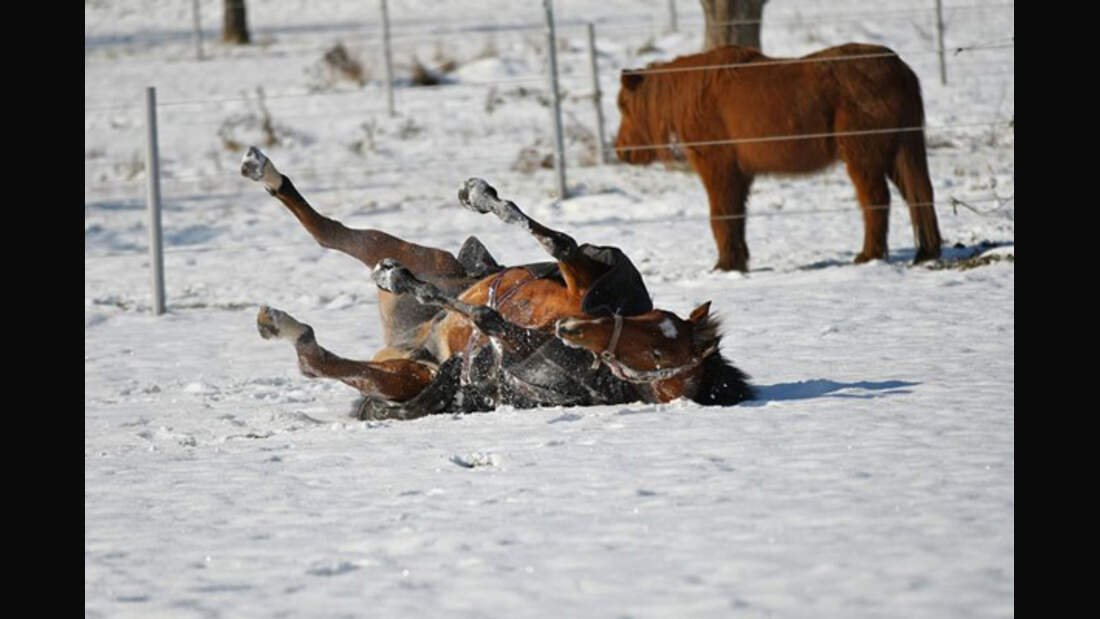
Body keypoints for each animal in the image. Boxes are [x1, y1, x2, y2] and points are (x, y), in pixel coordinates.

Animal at [242, 146, 756, 422]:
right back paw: (265, 172)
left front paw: (403, 278)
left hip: (407, 377)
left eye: (657, 357)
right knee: (329, 232)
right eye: (652, 320)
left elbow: (487, 315)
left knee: (316, 359)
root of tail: (407, 341)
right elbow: (558, 241)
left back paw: (293, 322)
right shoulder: (586, 279)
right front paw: (481, 196)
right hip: (435, 262)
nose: (571, 329)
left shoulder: (513, 344)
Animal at [616, 42, 941, 272]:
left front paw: (725, 265)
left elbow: (721, 215)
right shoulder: (739, 175)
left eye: (624, 107)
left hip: (864, 157)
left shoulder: (718, 169)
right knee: (919, 196)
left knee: (876, 200)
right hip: (898, 154)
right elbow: (736, 216)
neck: (698, 95)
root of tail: (898, 67)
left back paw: (868, 255)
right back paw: (926, 252)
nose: (621, 151)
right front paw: (737, 261)